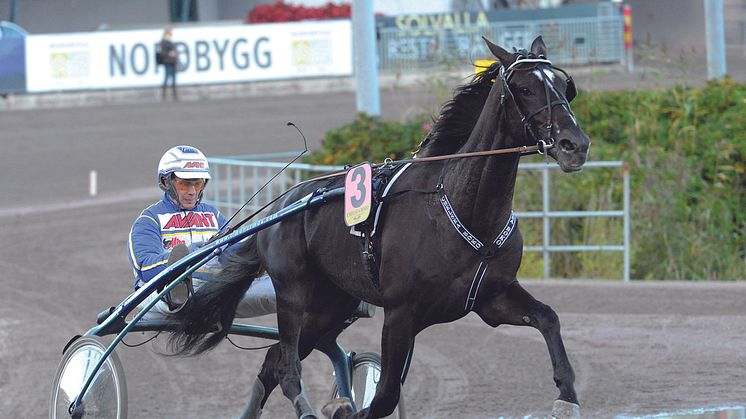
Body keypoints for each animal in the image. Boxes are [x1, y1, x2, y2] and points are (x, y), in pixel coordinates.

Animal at [167, 37, 588, 419]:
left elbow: (548, 317)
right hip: (292, 292)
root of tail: (281, 208)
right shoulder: (401, 313)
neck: (464, 213)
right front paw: (347, 408)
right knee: (287, 368)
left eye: (564, 86)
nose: (575, 144)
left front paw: (566, 398)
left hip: (332, 303)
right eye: (524, 88)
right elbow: (384, 397)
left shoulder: (492, 297)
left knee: (273, 363)